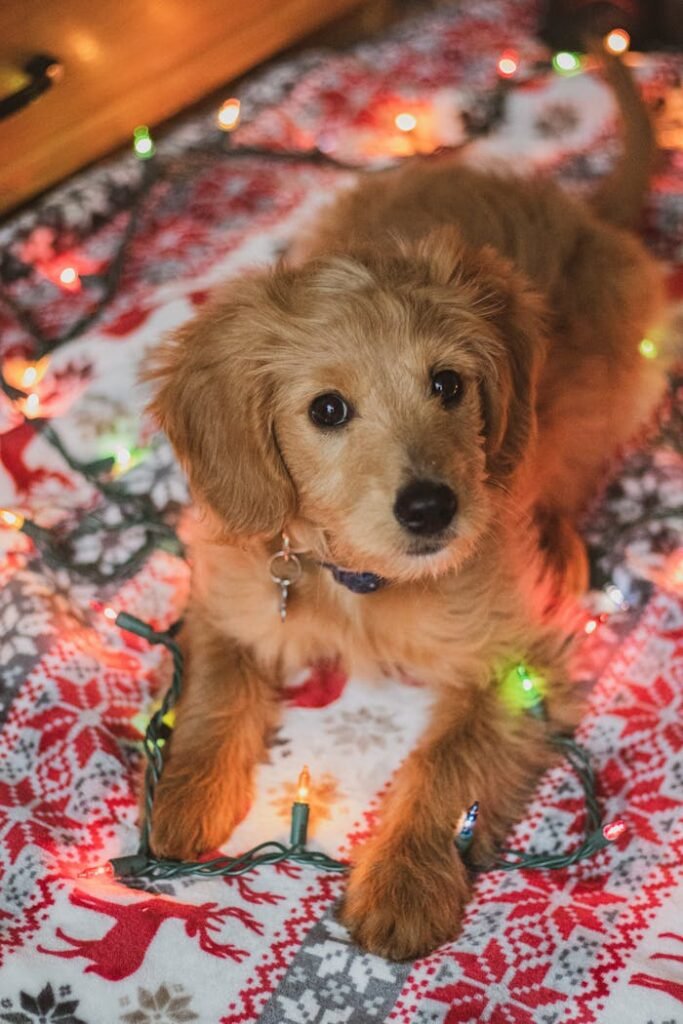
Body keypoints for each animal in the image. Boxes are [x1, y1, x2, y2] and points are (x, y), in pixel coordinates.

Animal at [147, 54, 663, 958]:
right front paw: (185, 795)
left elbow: (446, 765)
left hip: (620, 374)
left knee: (570, 457)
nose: (430, 509)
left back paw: (557, 539)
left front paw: (403, 879)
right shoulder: (227, 587)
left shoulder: (514, 662)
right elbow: (216, 686)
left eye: (447, 384)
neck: (360, 582)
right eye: (326, 410)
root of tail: (579, 206)